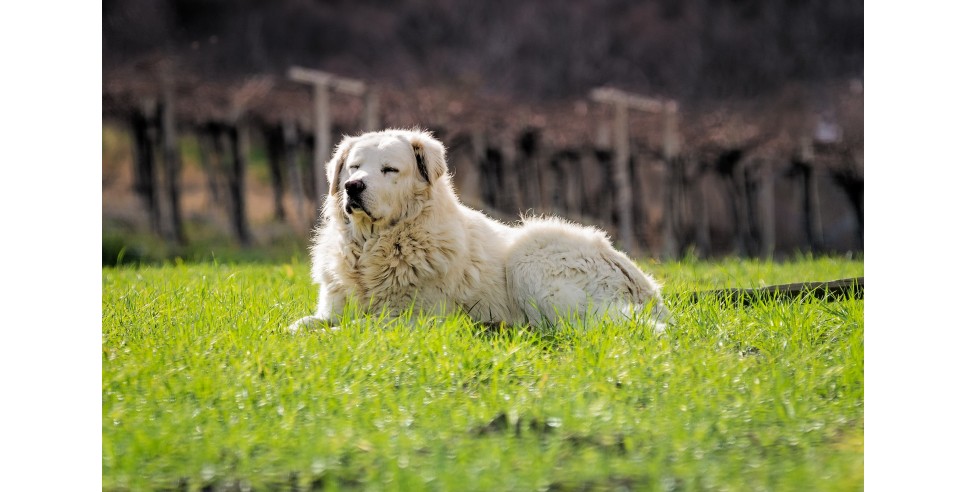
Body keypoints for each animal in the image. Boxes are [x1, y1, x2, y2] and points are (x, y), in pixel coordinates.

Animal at [288, 129, 668, 332]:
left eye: (389, 170)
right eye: (354, 167)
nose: (352, 187)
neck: (375, 246)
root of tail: (649, 290)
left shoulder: (413, 319)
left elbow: (355, 327)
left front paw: (327, 338)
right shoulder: (332, 308)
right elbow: (303, 323)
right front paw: (299, 332)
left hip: (530, 252)